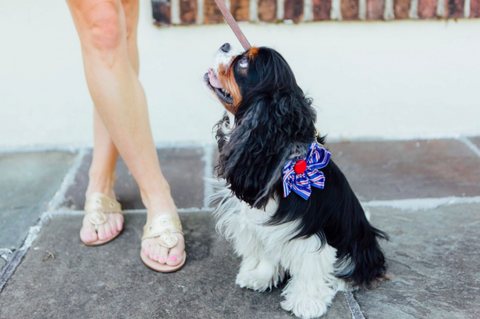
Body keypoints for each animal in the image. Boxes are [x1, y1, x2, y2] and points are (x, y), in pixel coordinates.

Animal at [204, 43, 388, 319]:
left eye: (244, 63)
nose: (225, 44)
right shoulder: (262, 225)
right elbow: (267, 253)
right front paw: (260, 277)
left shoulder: (305, 231)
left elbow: (310, 266)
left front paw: (307, 303)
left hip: (358, 245)